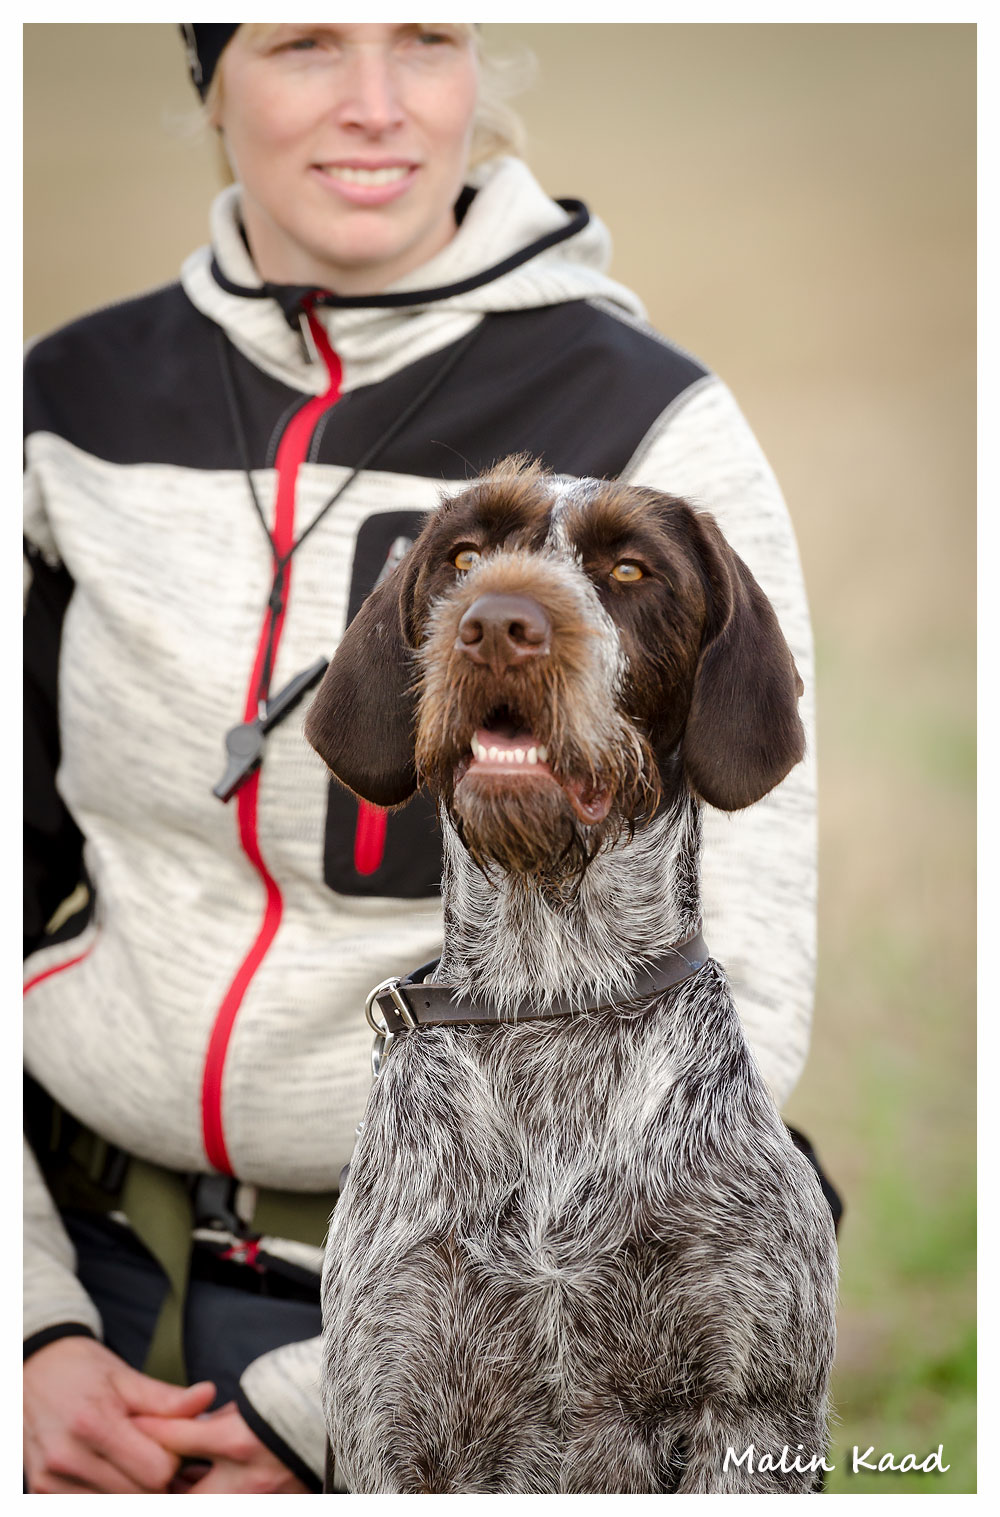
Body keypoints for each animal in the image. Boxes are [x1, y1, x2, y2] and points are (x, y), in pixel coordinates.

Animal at [305, 458, 837, 1493]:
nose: (496, 623)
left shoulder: (752, 1416)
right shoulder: (391, 1423)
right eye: (464, 557)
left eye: (629, 569)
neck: (554, 996)